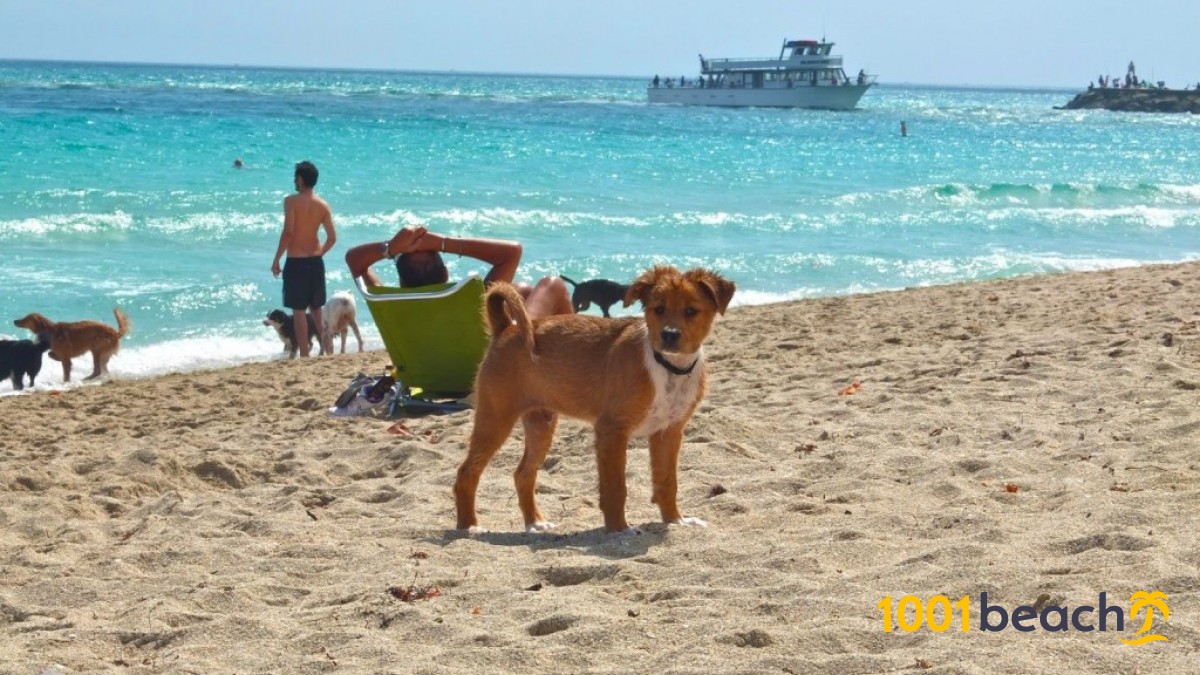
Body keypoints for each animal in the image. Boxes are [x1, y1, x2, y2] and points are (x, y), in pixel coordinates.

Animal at [453, 265, 729, 533]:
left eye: (691, 311)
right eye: (658, 309)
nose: (669, 335)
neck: (667, 366)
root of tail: (505, 328)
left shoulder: (669, 433)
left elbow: (667, 482)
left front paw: (675, 521)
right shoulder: (611, 429)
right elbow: (616, 487)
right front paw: (619, 530)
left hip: (541, 424)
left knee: (523, 474)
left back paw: (535, 523)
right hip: (495, 420)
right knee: (466, 473)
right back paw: (470, 526)